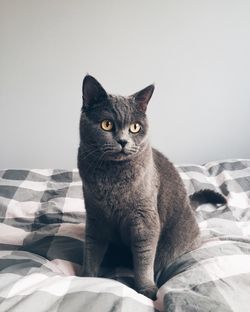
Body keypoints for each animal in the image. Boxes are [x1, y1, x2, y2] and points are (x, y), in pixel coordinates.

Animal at [77, 75, 226, 300]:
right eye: (106, 124)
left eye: (135, 127)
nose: (123, 141)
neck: (111, 178)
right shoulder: (95, 217)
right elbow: (92, 251)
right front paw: (86, 278)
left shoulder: (145, 219)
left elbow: (144, 258)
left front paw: (147, 288)